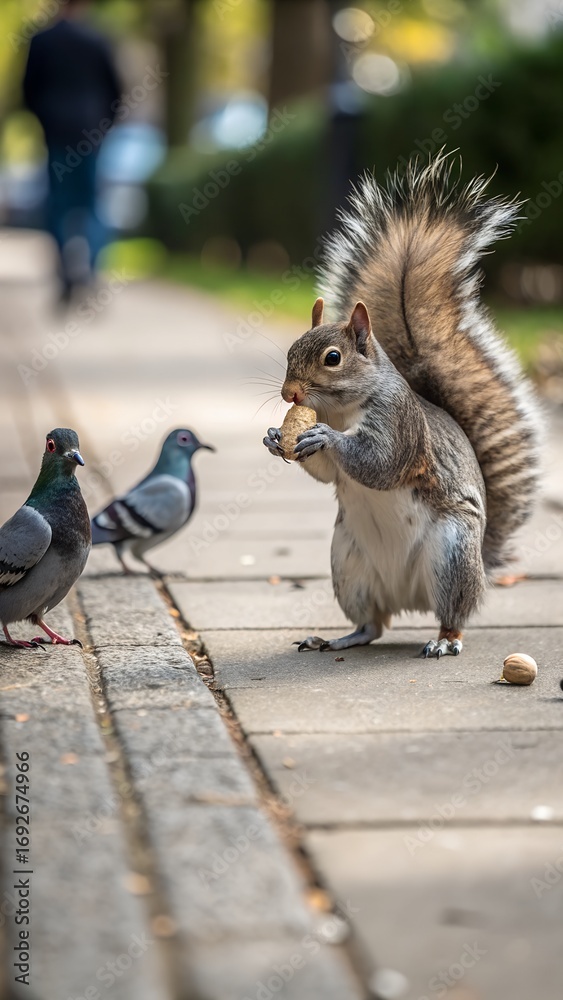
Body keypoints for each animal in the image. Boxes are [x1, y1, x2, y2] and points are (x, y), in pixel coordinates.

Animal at [263, 153, 541, 657]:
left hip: (451, 555)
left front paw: (324, 437)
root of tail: (410, 597)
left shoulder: (400, 426)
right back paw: (336, 637)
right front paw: (278, 437)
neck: (343, 409)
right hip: (348, 564)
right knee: (371, 624)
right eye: (292, 349)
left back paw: (444, 641)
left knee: (452, 615)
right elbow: (329, 474)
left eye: (332, 358)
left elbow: (380, 463)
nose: (289, 395)